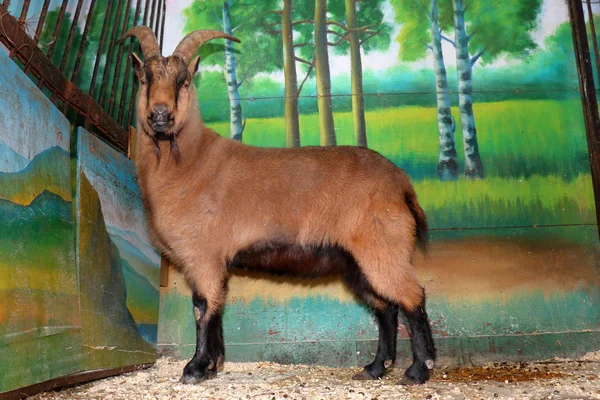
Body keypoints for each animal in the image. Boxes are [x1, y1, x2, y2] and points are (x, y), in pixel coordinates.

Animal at [118, 26, 436, 386]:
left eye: (184, 81)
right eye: (144, 78)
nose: (160, 115)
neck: (188, 162)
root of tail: (400, 182)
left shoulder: (203, 254)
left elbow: (202, 306)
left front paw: (195, 368)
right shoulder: (215, 260)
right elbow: (216, 306)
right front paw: (213, 365)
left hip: (383, 247)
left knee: (412, 297)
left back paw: (417, 370)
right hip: (358, 262)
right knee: (386, 307)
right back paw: (375, 367)